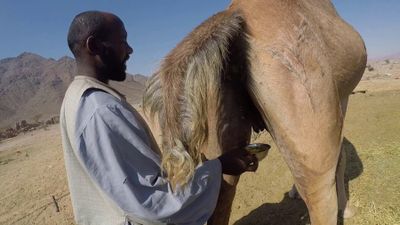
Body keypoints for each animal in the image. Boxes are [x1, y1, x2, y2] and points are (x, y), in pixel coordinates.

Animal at [142, 0, 368, 224]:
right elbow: (341, 158)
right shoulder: (340, 97)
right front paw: (346, 209)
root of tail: (235, 13)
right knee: (319, 194)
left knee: (222, 187)